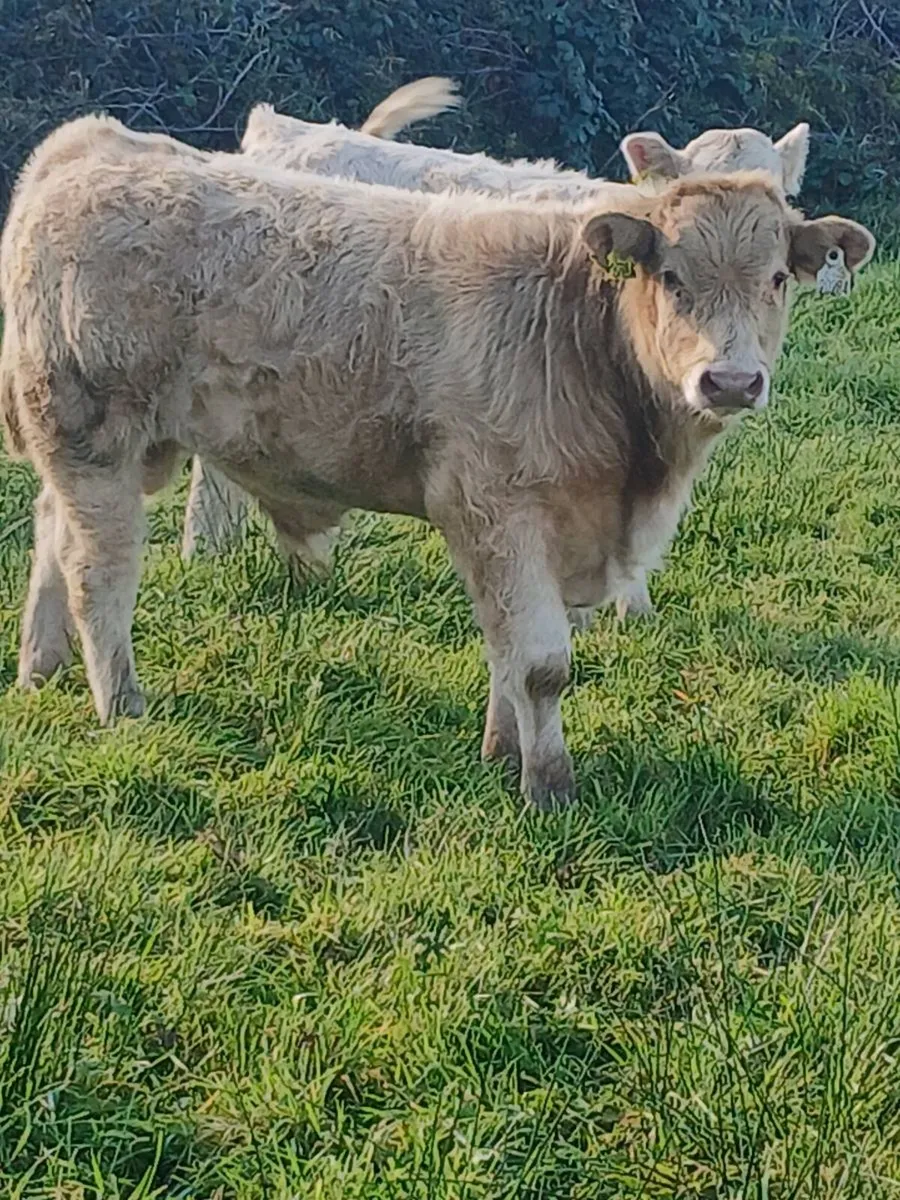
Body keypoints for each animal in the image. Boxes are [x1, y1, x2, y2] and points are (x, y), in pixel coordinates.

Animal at [0, 115, 873, 807]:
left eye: (776, 278)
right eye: (670, 275)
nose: (729, 380)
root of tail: (94, 145)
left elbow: (509, 648)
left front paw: (500, 749)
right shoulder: (499, 507)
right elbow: (541, 662)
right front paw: (549, 787)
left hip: (117, 449)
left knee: (49, 530)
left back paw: (39, 668)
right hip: (95, 438)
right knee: (98, 573)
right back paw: (120, 705)